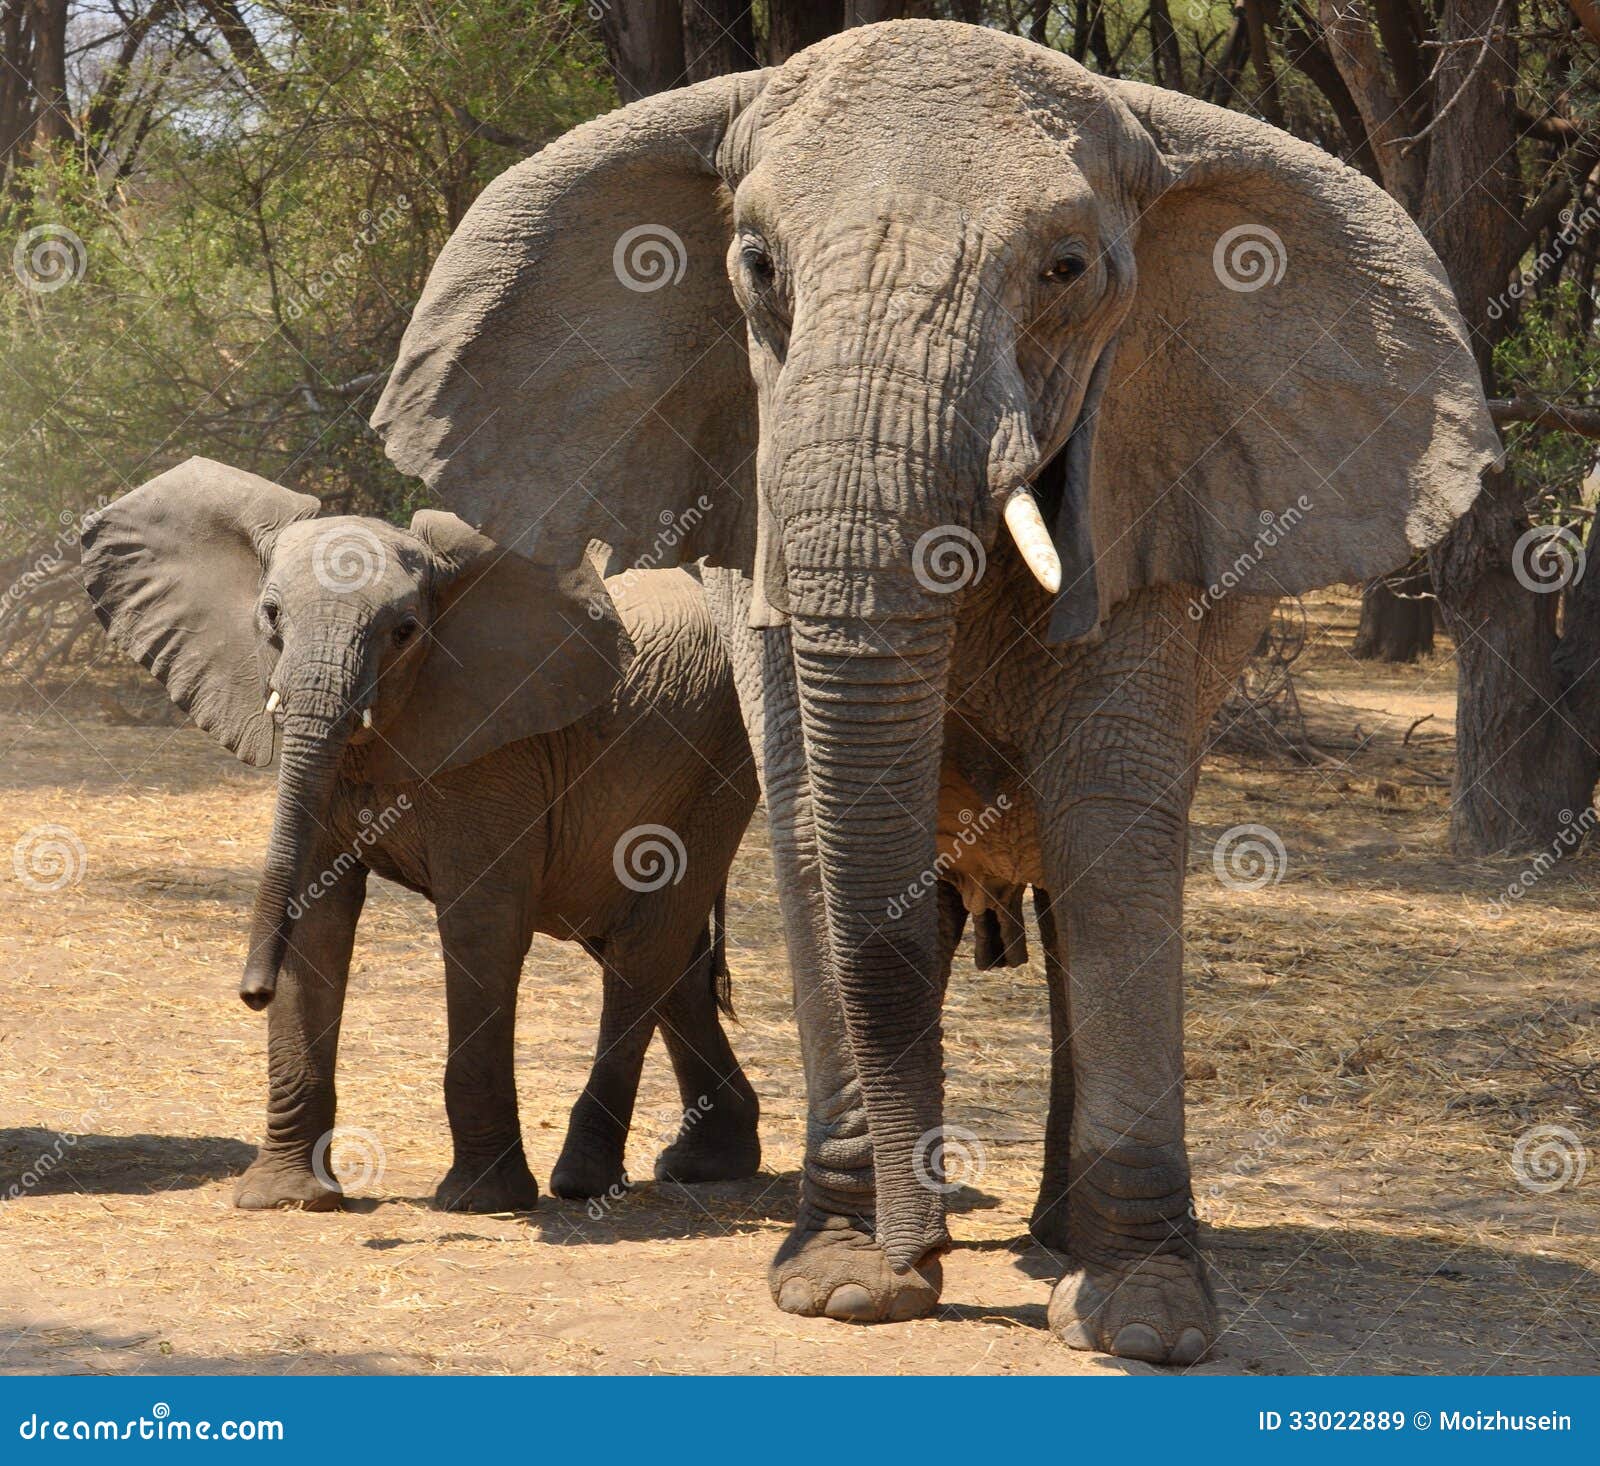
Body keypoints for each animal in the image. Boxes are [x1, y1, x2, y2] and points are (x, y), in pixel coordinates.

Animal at [81, 458, 761, 1213]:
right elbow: (315, 914)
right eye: (271, 615)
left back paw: (584, 1182)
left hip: (718, 765)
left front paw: (481, 1201)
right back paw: (707, 1163)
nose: (251, 992)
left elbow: (480, 926)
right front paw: (285, 1198)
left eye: (405, 631)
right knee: (659, 956)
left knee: (645, 949)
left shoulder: (497, 752)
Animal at [369, 20, 1499, 1360]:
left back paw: (1060, 1238)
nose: (927, 1247)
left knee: (1070, 898)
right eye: (756, 265)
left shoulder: (1149, 476)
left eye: (1066, 267)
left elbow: (1112, 829)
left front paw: (1143, 1320)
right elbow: (815, 826)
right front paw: (845, 1284)